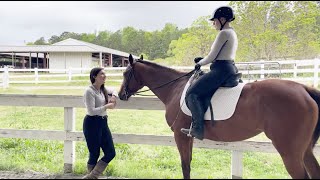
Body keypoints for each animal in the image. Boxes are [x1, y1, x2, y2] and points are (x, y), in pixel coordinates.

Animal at [118, 54, 320, 179]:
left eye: (126, 73)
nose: (120, 95)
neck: (175, 88)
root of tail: (304, 89)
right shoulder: (188, 136)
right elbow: (189, 163)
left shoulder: (179, 135)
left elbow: (185, 165)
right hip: (304, 151)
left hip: (289, 152)